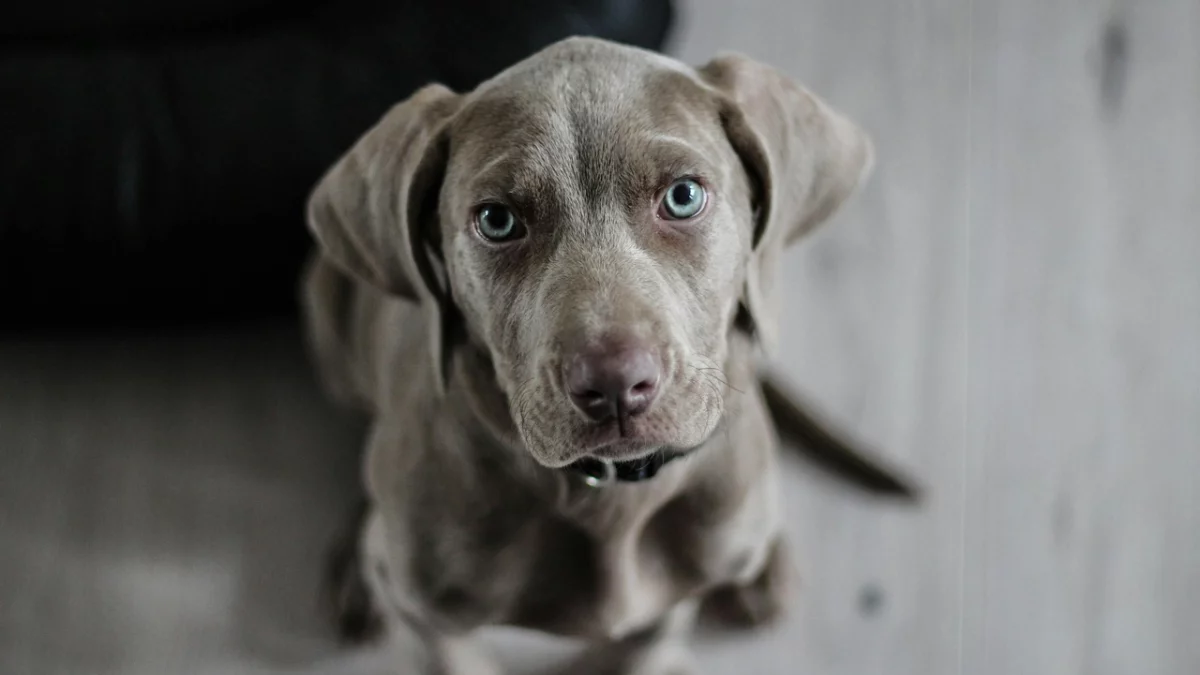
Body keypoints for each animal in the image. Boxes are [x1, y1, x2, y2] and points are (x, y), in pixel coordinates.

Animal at [304, 35, 912, 672]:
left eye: (683, 196)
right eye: (497, 220)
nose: (616, 385)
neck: (611, 496)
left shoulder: (669, 606)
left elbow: (642, 649)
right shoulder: (431, 615)